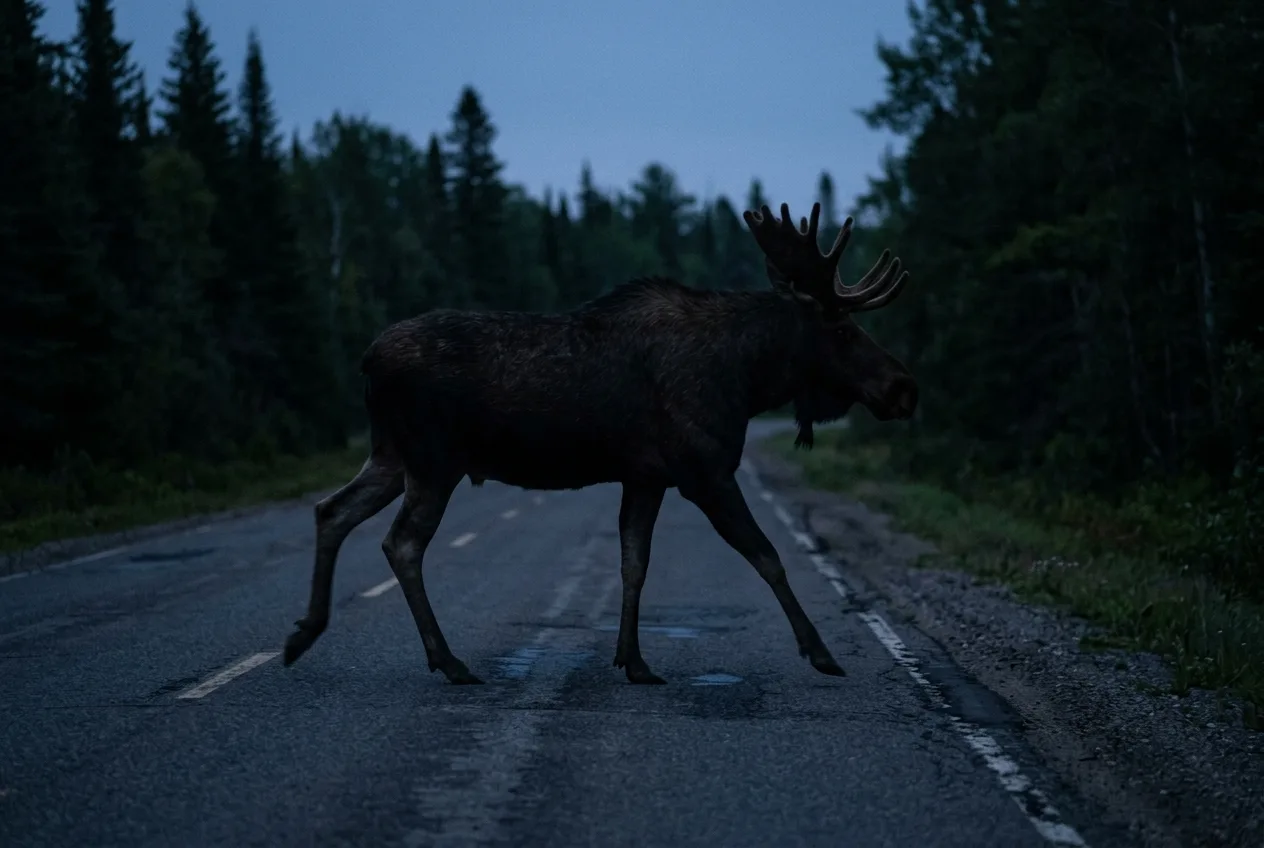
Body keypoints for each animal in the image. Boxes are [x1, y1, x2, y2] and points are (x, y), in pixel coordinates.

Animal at [282, 201, 917, 685]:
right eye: (843, 329)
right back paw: (448, 660)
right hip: (434, 461)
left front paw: (634, 661)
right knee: (402, 543)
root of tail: (367, 360)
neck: (749, 379)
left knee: (332, 510)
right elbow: (766, 556)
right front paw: (821, 652)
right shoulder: (704, 471)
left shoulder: (646, 475)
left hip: (391, 455)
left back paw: (304, 634)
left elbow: (634, 563)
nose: (903, 387)